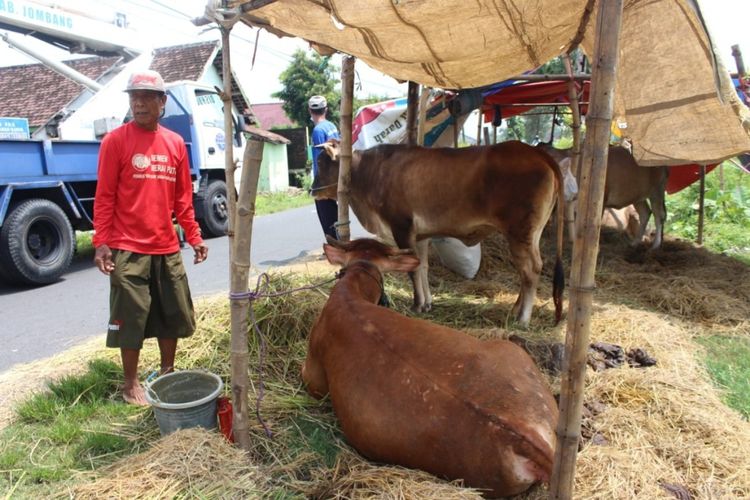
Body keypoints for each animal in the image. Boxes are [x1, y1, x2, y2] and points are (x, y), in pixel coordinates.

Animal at [314, 140, 568, 328]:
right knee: (529, 270)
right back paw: (516, 310)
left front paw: (417, 305)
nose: (312, 189)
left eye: (320, 161)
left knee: (530, 270)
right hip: (531, 234)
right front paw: (427, 303)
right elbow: (422, 266)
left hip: (520, 233)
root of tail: (537, 153)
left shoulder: (402, 227)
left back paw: (523, 319)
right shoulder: (420, 235)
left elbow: (413, 270)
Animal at [540, 144, 668, 249]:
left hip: (657, 191)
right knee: (645, 213)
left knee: (659, 215)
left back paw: (655, 245)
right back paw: (635, 242)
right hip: (637, 196)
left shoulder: (601, 200)